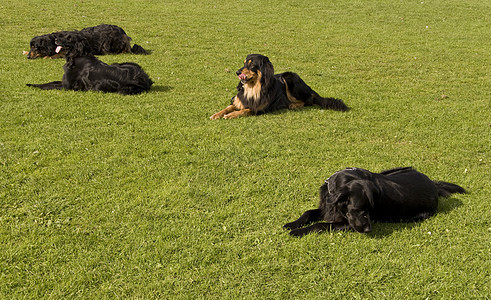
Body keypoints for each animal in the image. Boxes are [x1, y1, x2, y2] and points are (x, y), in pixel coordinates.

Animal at [211, 53, 350, 119]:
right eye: (244, 63)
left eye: (251, 64)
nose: (237, 72)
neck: (253, 87)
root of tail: (308, 87)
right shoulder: (238, 101)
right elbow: (228, 107)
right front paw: (217, 114)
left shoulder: (259, 109)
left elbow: (246, 110)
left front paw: (231, 115)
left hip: (288, 77)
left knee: (308, 99)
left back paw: (294, 105)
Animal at [282, 166, 468, 237]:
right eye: (358, 209)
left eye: (371, 210)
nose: (368, 229)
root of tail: (434, 185)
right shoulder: (327, 207)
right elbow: (308, 213)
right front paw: (292, 225)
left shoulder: (347, 223)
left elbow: (320, 225)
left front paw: (298, 232)